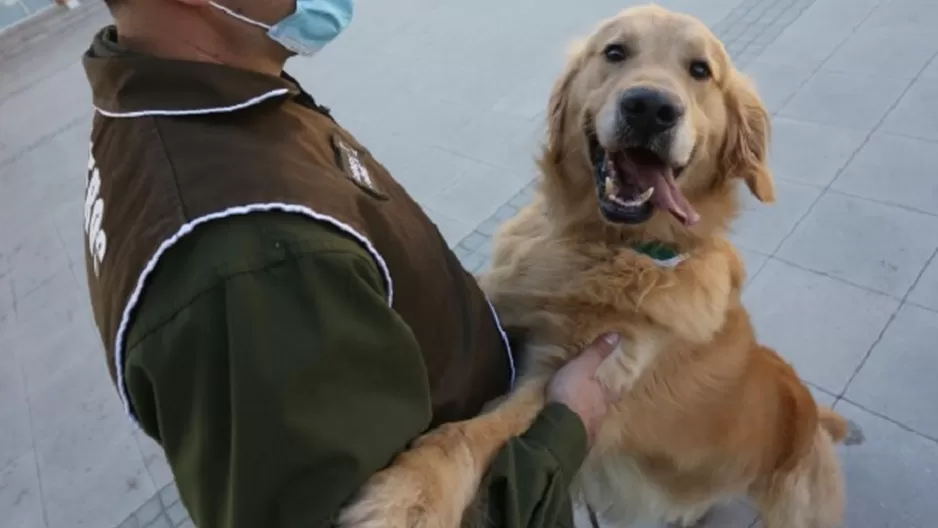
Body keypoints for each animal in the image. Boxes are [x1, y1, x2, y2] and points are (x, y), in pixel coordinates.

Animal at [334, 5, 856, 528]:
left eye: (700, 70)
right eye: (615, 52)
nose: (650, 107)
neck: (601, 246)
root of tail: (812, 417)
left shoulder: (570, 376)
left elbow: (472, 433)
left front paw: (411, 494)